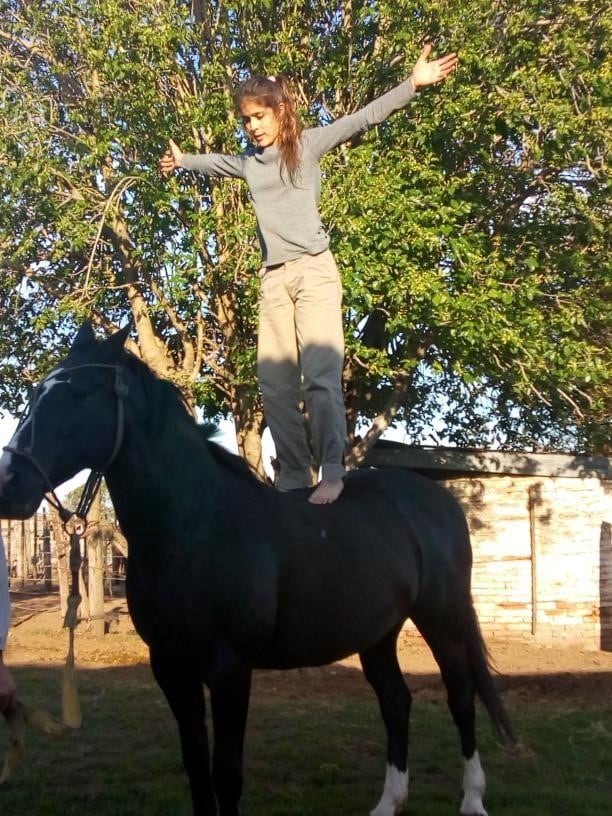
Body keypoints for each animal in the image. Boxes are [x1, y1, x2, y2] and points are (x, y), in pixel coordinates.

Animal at [0, 326, 512, 816]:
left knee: (461, 697)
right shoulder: (171, 666)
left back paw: (473, 799)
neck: (195, 525)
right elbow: (195, 767)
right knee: (396, 701)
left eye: (79, 393)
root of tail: (438, 500)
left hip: (442, 618)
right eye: (36, 391)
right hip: (377, 632)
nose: (9, 482)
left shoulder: (230, 669)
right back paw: (389, 803)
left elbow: (226, 774)